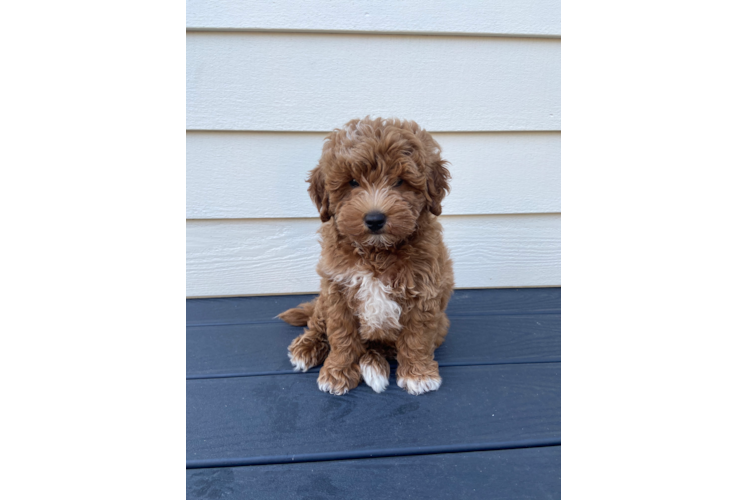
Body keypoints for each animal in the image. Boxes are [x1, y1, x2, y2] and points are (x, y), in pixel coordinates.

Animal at [278, 117, 456, 394]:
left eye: (400, 181)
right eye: (352, 182)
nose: (374, 219)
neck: (376, 252)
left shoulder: (425, 291)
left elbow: (416, 336)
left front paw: (418, 374)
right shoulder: (336, 288)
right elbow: (341, 335)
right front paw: (337, 372)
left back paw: (374, 361)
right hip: (323, 299)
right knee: (317, 322)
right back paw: (306, 347)